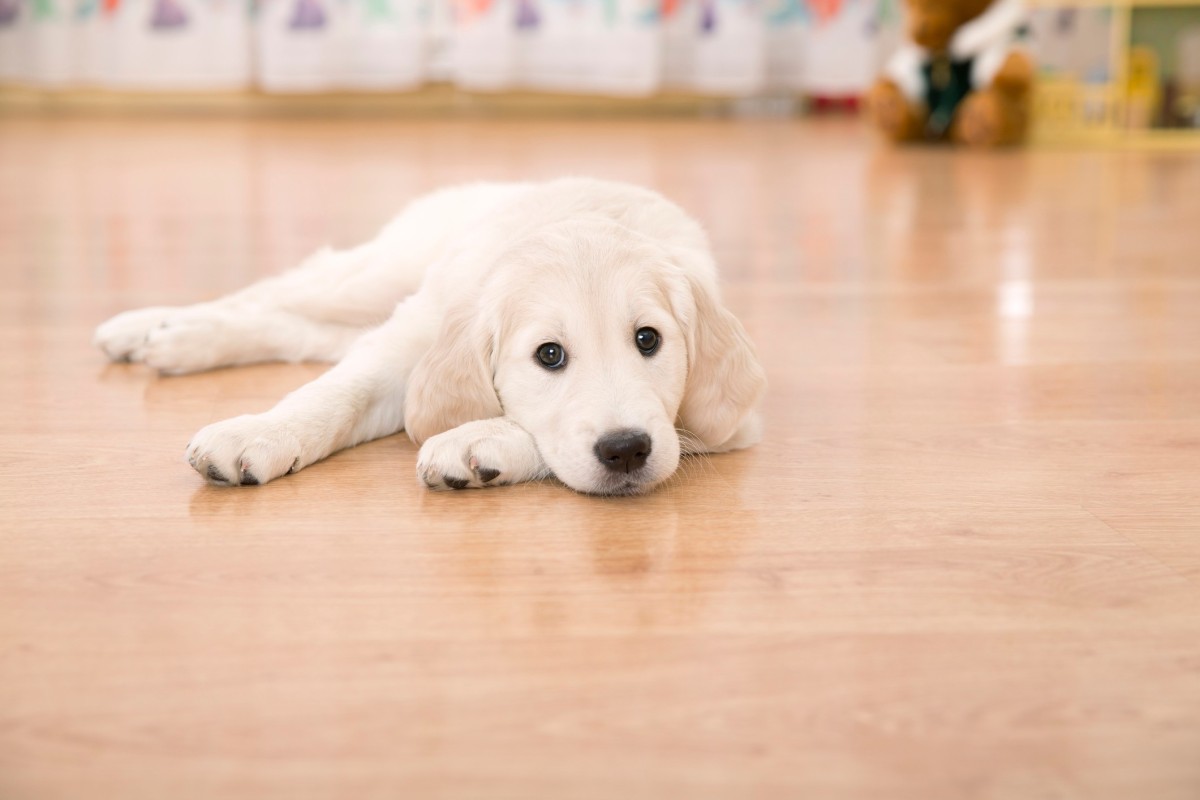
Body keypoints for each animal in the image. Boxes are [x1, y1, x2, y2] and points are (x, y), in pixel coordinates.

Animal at [96, 178, 768, 496]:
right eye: (549, 355)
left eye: (649, 340)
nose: (626, 450)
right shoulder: (405, 344)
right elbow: (333, 395)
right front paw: (260, 433)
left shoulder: (726, 423)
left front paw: (479, 443)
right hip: (377, 277)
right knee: (274, 294)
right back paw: (152, 328)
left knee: (293, 325)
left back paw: (173, 337)